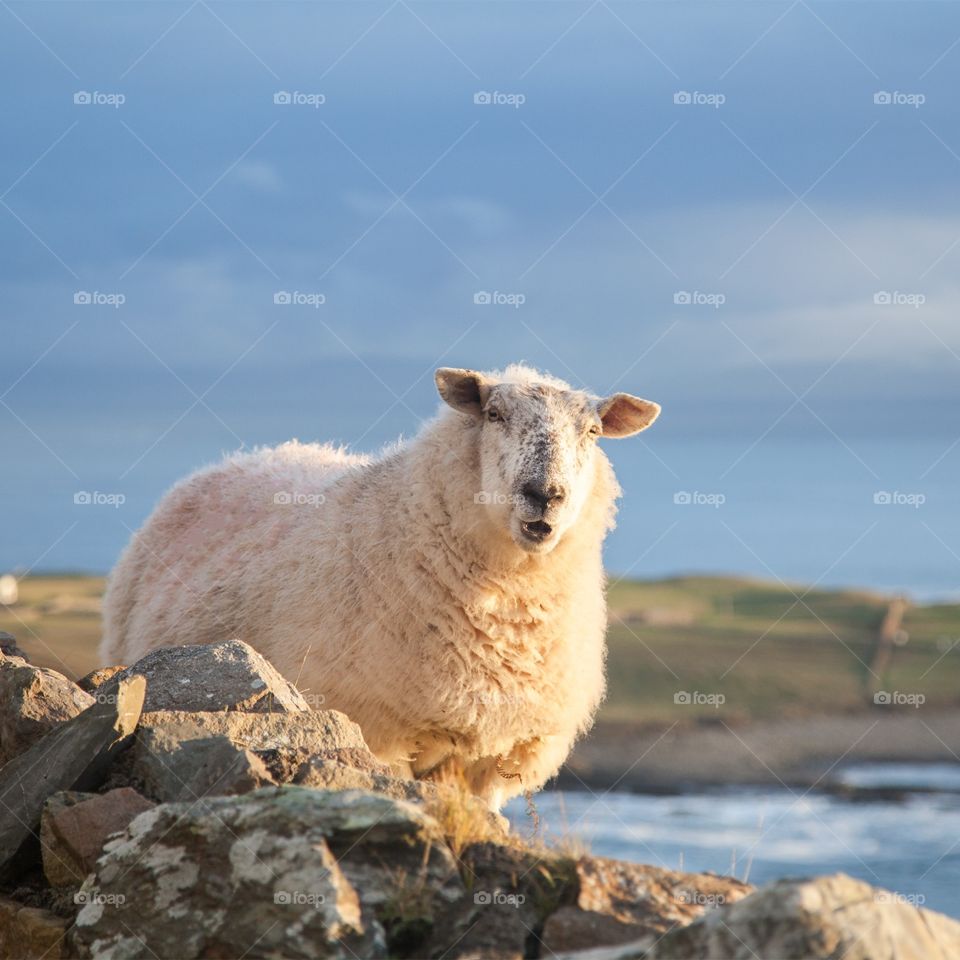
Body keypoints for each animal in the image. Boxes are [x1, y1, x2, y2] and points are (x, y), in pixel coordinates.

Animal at [101, 364, 660, 810]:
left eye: (593, 431)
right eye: (494, 414)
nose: (545, 494)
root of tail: (235, 460)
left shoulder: (499, 756)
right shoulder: (379, 733)